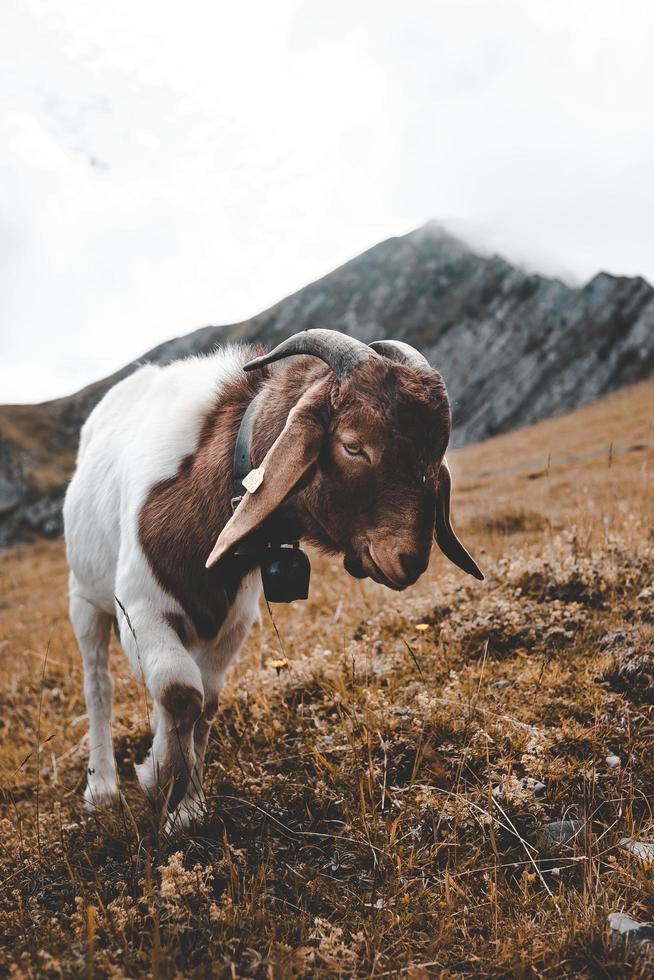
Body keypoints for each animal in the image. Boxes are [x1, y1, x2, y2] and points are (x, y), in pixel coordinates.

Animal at [65, 330, 482, 828]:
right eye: (354, 445)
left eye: (436, 453)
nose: (409, 558)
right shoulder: (140, 609)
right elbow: (180, 692)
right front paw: (160, 779)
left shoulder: (233, 621)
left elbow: (205, 702)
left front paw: (186, 805)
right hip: (85, 602)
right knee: (98, 685)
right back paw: (102, 788)